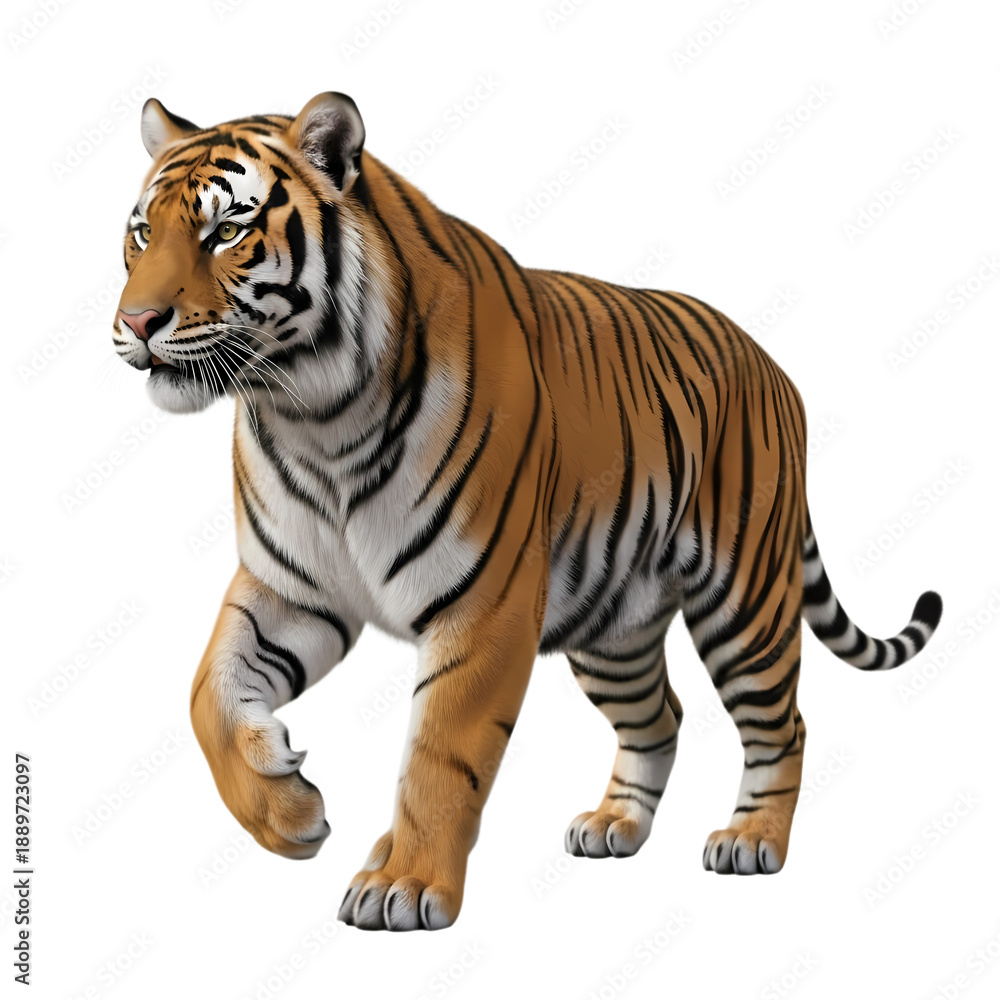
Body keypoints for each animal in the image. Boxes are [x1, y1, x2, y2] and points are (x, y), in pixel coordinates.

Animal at [112, 91, 942, 931]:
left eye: (226, 232)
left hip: (746, 601)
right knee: (662, 716)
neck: (311, 415)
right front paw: (290, 815)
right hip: (614, 629)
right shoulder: (290, 590)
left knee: (784, 724)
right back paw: (615, 825)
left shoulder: (484, 604)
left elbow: (440, 754)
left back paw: (752, 840)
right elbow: (207, 697)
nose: (137, 323)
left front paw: (404, 884)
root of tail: (773, 366)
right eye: (143, 232)